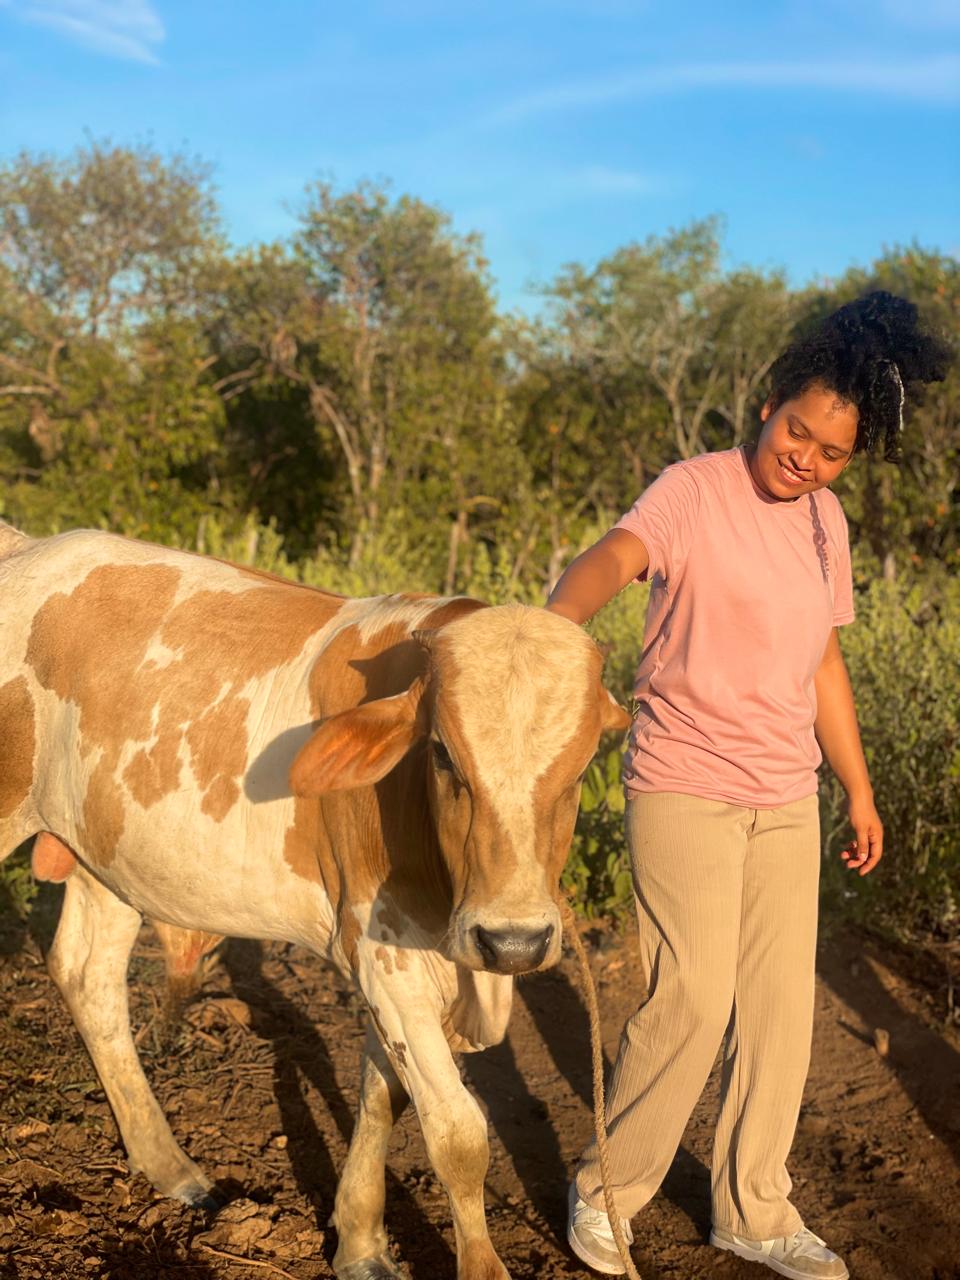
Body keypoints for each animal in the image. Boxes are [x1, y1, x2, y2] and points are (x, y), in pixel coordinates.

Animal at [0, 522, 629, 1280]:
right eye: (443, 754)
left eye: (584, 764)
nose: (514, 942)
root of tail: (26, 545)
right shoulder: (387, 957)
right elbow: (459, 1134)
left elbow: (383, 1096)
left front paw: (359, 1241)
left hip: (105, 856)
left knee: (89, 978)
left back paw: (169, 1166)